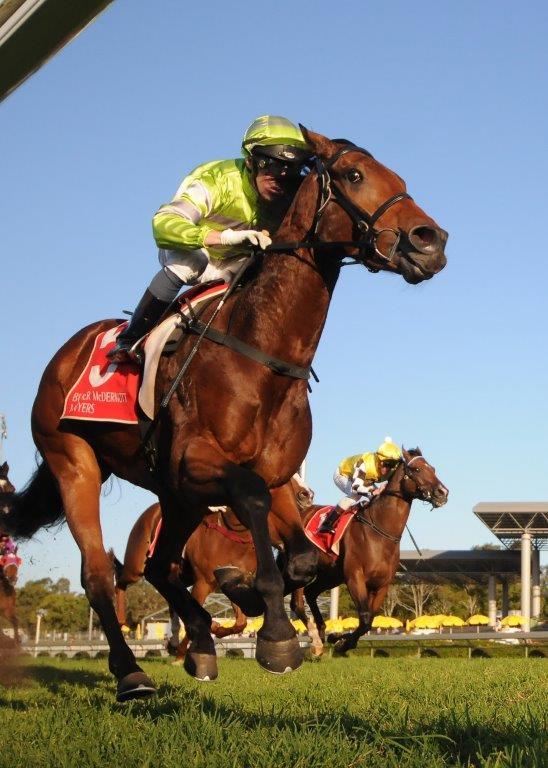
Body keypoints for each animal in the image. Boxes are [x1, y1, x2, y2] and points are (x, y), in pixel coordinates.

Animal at [113, 474, 315, 659]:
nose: (307, 494)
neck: (232, 536)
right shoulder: (203, 582)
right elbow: (199, 616)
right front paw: (183, 655)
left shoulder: (233, 580)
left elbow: (240, 622)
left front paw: (216, 631)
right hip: (136, 566)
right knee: (121, 578)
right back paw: (121, 619)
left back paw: (172, 641)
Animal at [290, 448, 448, 655]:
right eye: (417, 469)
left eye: (433, 468)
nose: (443, 492)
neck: (380, 531)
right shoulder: (355, 577)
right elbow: (365, 617)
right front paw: (342, 643)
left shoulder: (382, 584)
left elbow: (369, 620)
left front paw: (338, 639)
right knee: (297, 603)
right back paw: (315, 640)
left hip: (331, 575)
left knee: (310, 593)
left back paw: (323, 632)